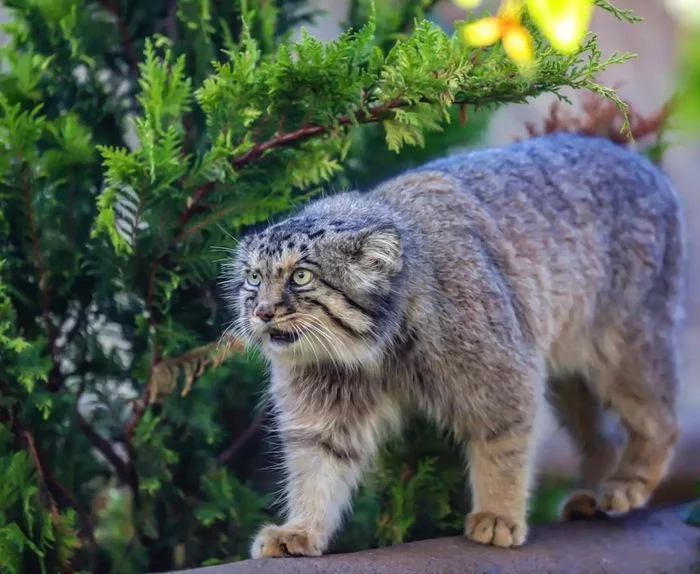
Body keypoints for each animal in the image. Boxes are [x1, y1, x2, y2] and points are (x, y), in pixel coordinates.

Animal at [226, 133, 684, 560]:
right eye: (254, 277)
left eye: (301, 276)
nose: (262, 312)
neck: (375, 350)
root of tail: (641, 162)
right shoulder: (325, 407)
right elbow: (316, 468)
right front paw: (301, 529)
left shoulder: (503, 378)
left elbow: (502, 448)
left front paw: (498, 514)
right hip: (571, 382)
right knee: (602, 438)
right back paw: (591, 493)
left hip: (622, 350)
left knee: (661, 420)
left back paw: (628, 482)